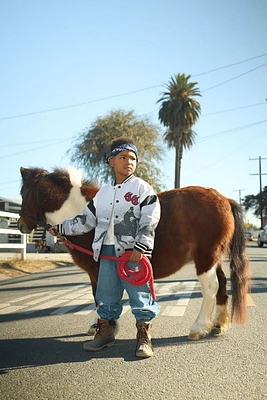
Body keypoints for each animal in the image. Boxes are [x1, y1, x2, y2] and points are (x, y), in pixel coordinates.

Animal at [18, 166, 251, 340]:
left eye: (22, 192)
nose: (21, 225)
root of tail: (224, 199)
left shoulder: (97, 270)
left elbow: (101, 298)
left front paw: (105, 326)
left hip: (205, 258)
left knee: (211, 287)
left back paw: (199, 327)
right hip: (214, 257)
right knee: (222, 284)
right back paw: (219, 324)